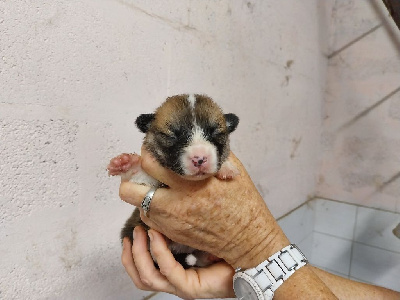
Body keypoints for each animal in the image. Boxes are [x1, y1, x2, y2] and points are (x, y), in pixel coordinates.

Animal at [107, 94, 241, 268]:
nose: (200, 158)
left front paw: (226, 167)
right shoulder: (151, 180)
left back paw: (211, 256)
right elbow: (142, 175)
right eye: (173, 136)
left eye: (215, 133)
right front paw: (127, 163)